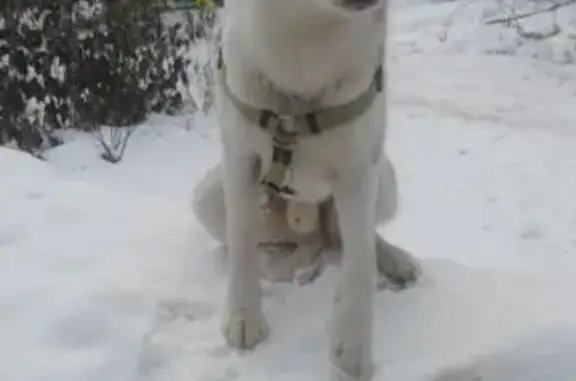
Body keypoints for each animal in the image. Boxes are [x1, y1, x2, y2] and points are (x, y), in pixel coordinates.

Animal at [191, 1, 420, 378]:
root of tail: (313, 233)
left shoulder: (359, 169)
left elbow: (360, 260)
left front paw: (353, 348)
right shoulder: (239, 157)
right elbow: (241, 241)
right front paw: (243, 316)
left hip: (385, 177)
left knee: (353, 239)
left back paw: (395, 259)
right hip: (207, 196)